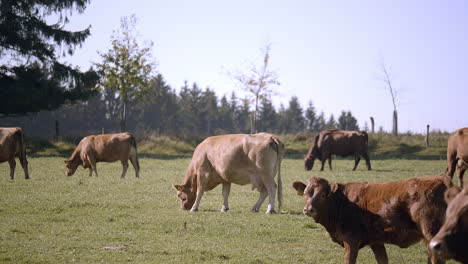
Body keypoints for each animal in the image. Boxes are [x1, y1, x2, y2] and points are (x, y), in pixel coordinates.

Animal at [292, 175, 454, 264]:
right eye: (306, 193)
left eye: (322, 195)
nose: (308, 209)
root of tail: (439, 178)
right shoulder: (376, 241)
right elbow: (382, 259)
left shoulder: (351, 240)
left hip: (430, 233)